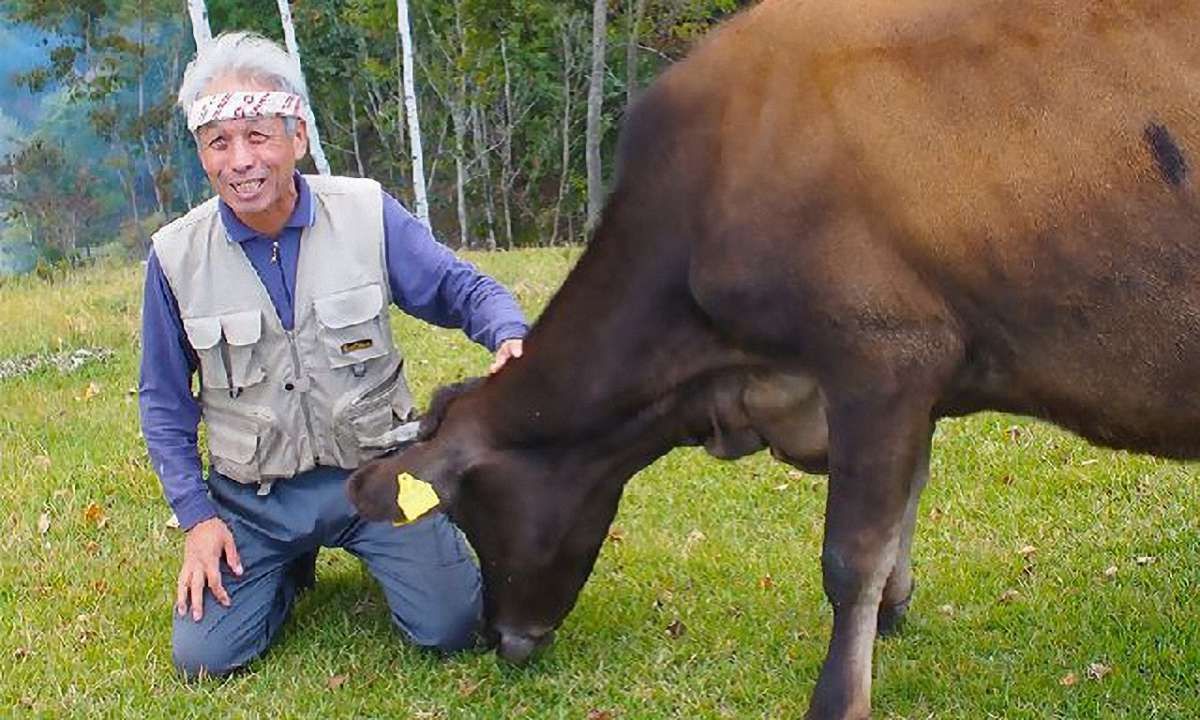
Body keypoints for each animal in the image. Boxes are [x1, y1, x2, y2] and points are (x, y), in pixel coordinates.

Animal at [347, 1, 1200, 717]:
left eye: (467, 512)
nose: (501, 637)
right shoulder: (915, 385)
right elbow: (905, 509)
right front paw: (895, 614)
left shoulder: (881, 355)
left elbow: (850, 558)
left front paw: (839, 697)